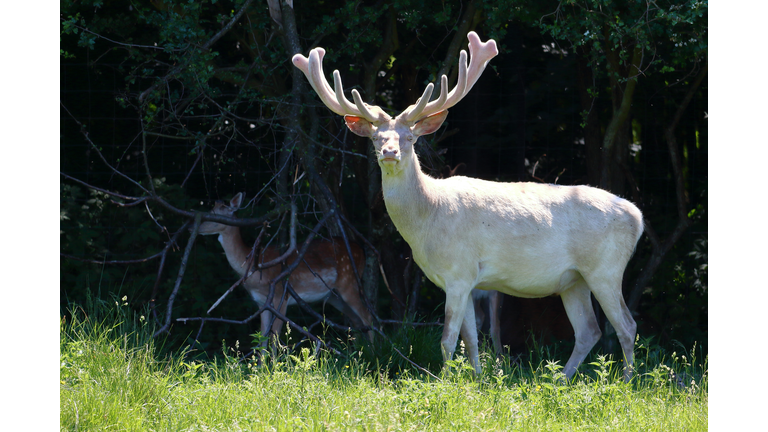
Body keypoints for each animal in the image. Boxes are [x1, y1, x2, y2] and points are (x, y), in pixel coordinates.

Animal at [200, 194, 374, 342]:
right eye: (209, 211)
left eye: (218, 216)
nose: (197, 227)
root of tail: (361, 250)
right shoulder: (261, 302)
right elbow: (262, 337)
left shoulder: (280, 296)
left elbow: (274, 337)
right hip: (333, 296)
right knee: (357, 322)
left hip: (349, 281)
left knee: (368, 317)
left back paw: (373, 352)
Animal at [292, 31, 640, 382]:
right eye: (376, 137)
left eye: (410, 138)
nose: (389, 152)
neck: (427, 220)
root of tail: (637, 217)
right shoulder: (469, 280)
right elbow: (470, 338)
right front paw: (478, 379)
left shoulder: (459, 271)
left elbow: (447, 339)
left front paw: (444, 382)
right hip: (573, 279)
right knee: (589, 330)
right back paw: (560, 380)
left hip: (606, 268)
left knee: (626, 325)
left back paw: (625, 382)